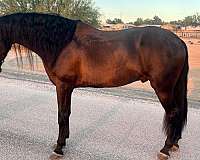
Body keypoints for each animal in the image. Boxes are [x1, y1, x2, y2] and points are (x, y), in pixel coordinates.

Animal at [0, 12, 189, 159]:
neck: (61, 43)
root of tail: (179, 41)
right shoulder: (68, 88)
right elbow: (67, 113)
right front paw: (64, 141)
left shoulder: (62, 86)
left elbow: (62, 115)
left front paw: (59, 148)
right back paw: (174, 143)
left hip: (163, 88)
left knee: (173, 113)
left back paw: (165, 149)